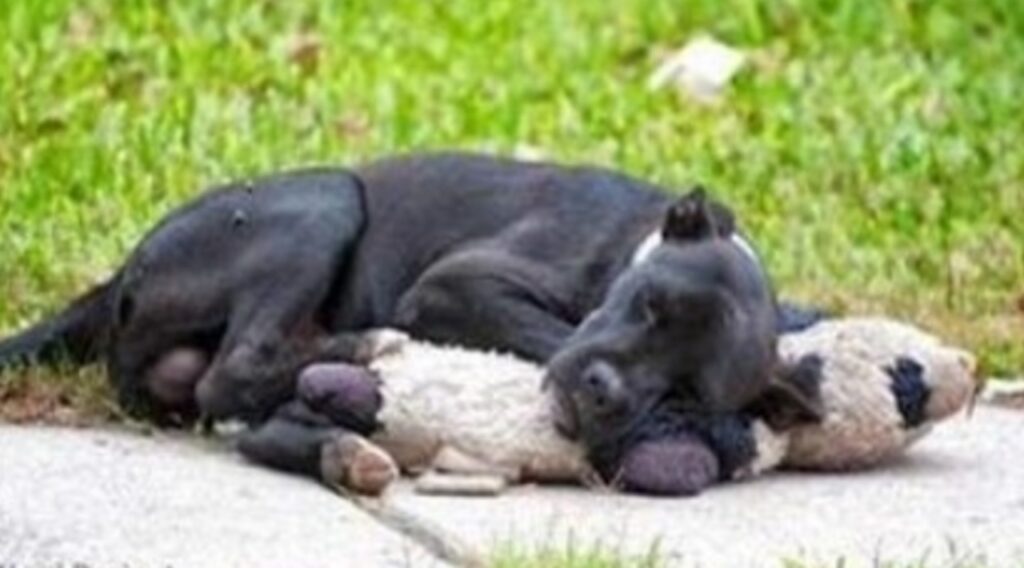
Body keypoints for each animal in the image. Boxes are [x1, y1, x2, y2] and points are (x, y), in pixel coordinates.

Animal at [0, 155, 819, 448]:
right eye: (649, 305)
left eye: (689, 389)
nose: (604, 394)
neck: (635, 246)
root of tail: (119, 280)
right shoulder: (457, 285)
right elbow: (549, 332)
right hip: (326, 199)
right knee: (232, 371)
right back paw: (368, 348)